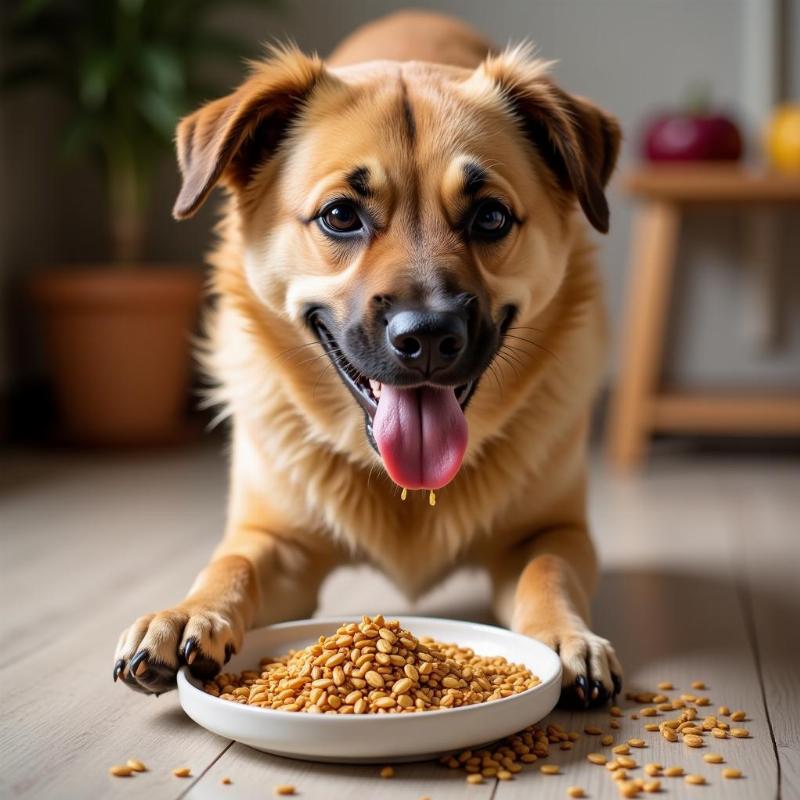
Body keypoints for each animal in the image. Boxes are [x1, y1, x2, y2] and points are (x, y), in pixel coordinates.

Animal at [114, 6, 624, 708]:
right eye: (339, 216)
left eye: (491, 217)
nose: (429, 336)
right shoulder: (276, 542)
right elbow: (232, 563)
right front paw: (186, 613)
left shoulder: (553, 532)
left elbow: (547, 573)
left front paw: (564, 639)